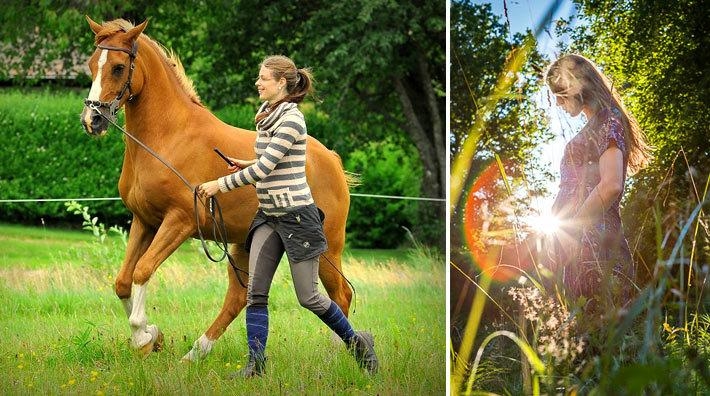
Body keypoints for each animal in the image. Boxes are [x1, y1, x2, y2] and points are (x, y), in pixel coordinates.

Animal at [80, 17, 354, 360]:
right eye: (92, 65)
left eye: (118, 67)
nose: (92, 119)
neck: (168, 138)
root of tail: (332, 161)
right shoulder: (145, 221)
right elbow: (122, 282)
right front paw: (152, 336)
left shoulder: (179, 222)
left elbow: (142, 271)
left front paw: (144, 337)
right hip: (245, 246)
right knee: (238, 298)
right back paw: (194, 355)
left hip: (326, 248)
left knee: (340, 295)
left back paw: (337, 355)